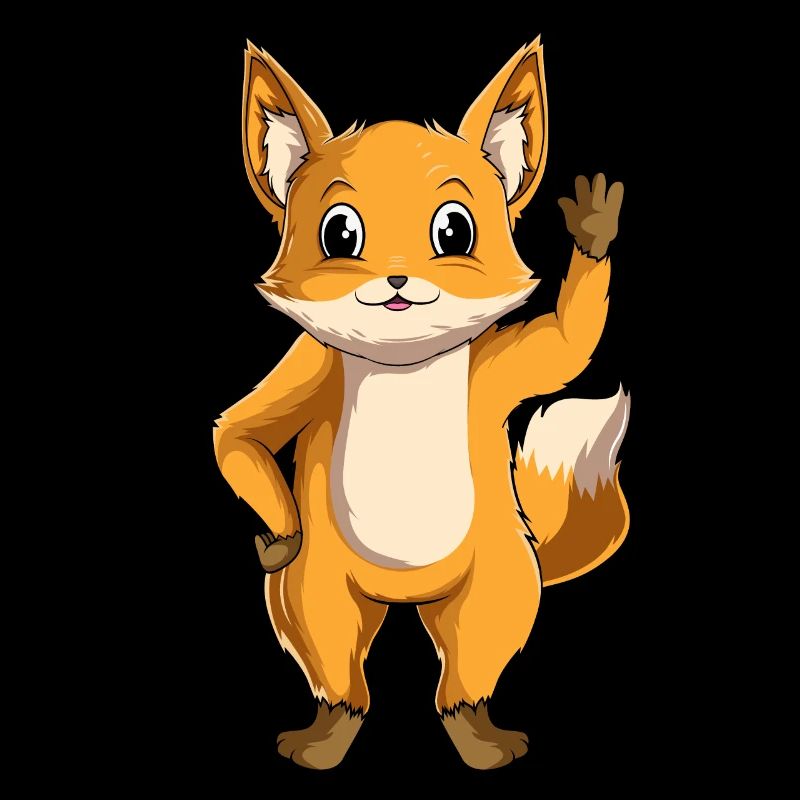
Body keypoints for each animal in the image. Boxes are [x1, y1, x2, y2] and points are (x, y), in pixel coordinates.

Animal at [214, 38, 630, 770]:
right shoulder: (308, 365)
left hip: (496, 580)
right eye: (340, 234)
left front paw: (593, 228)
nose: (398, 280)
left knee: (470, 661)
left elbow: (568, 344)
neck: (399, 362)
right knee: (332, 652)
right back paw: (328, 733)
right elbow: (240, 431)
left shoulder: (493, 368)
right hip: (321, 587)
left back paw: (477, 735)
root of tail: (404, 598)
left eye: (454, 231)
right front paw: (281, 534)